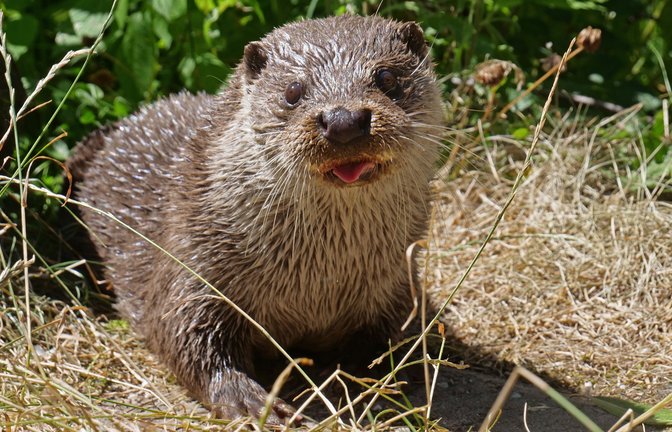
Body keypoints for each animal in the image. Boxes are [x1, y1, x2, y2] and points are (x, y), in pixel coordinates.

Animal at [69, 15, 444, 422]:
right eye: (293, 91)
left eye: (386, 77)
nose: (343, 119)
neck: (316, 285)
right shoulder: (192, 264)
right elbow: (182, 335)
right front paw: (248, 399)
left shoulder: (395, 285)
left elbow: (388, 341)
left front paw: (377, 380)